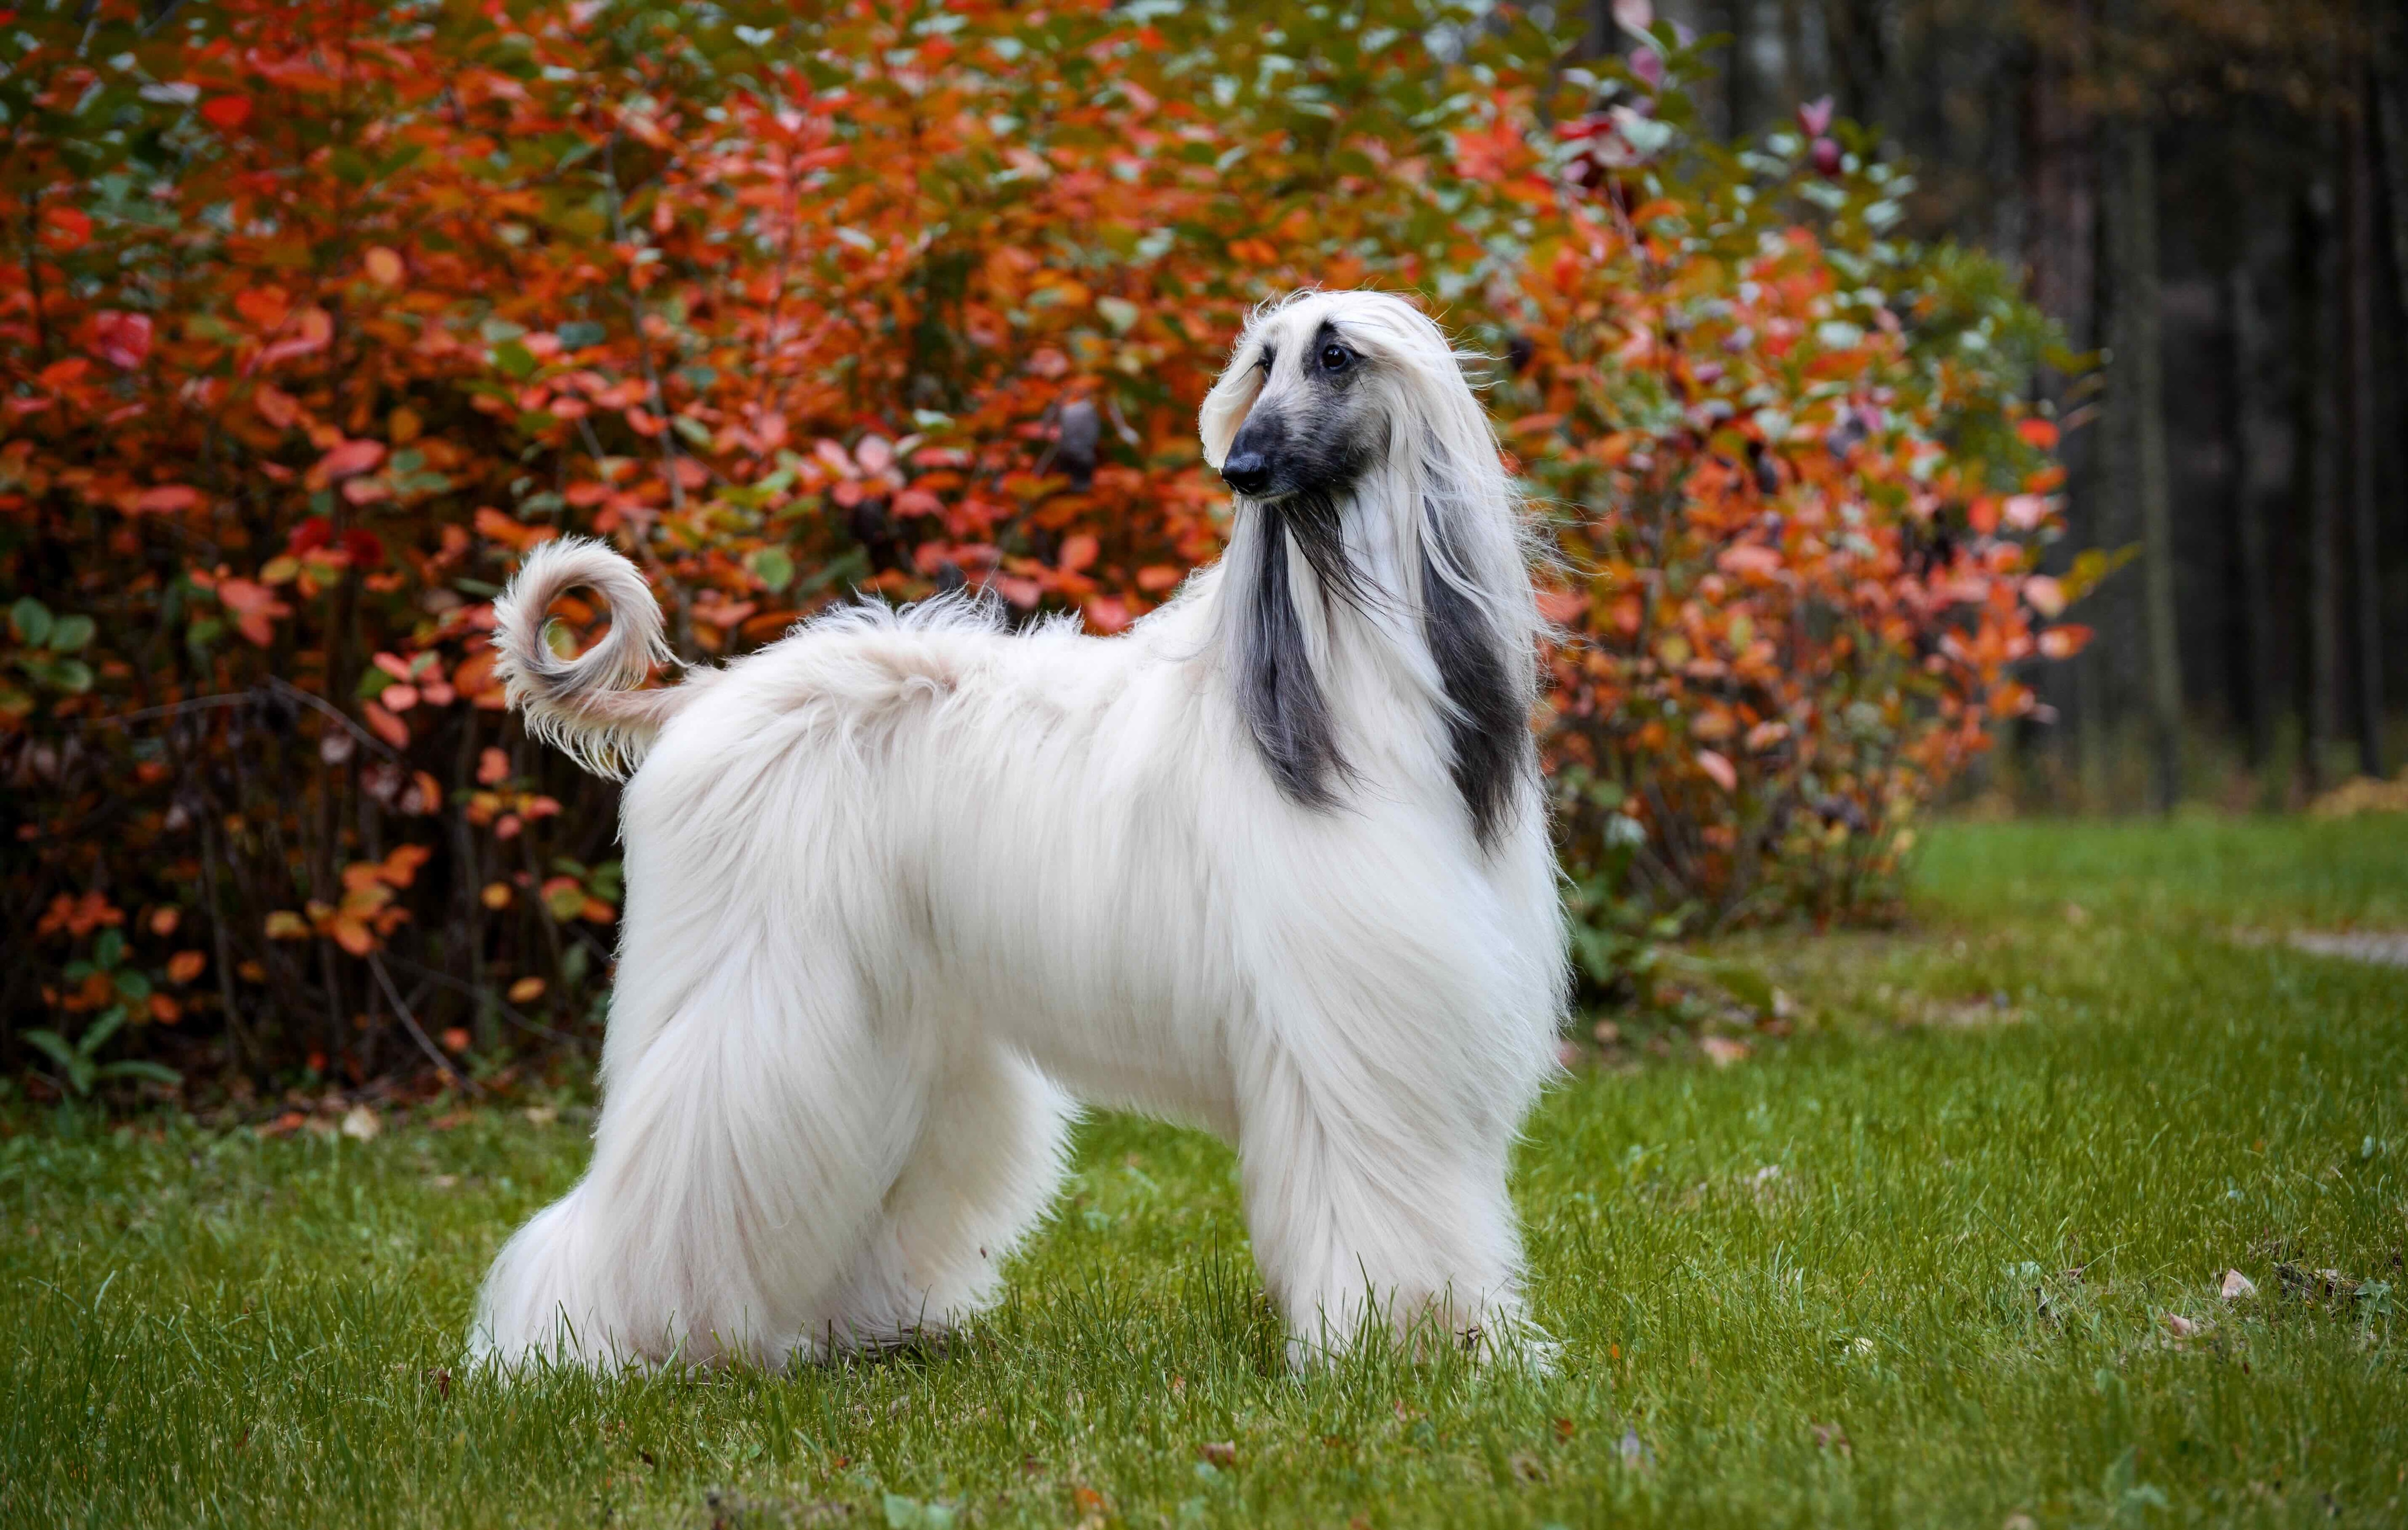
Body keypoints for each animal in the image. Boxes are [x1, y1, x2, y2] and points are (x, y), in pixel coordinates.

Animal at [472, 290, 1570, 1378]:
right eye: (1262, 364)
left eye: (1336, 357)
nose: (1241, 467)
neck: (1357, 673)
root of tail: (707, 692)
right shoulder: (1349, 1027)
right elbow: (1380, 1192)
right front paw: (1409, 1340)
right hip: (754, 987)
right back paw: (580, 1339)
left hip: (888, 1010)